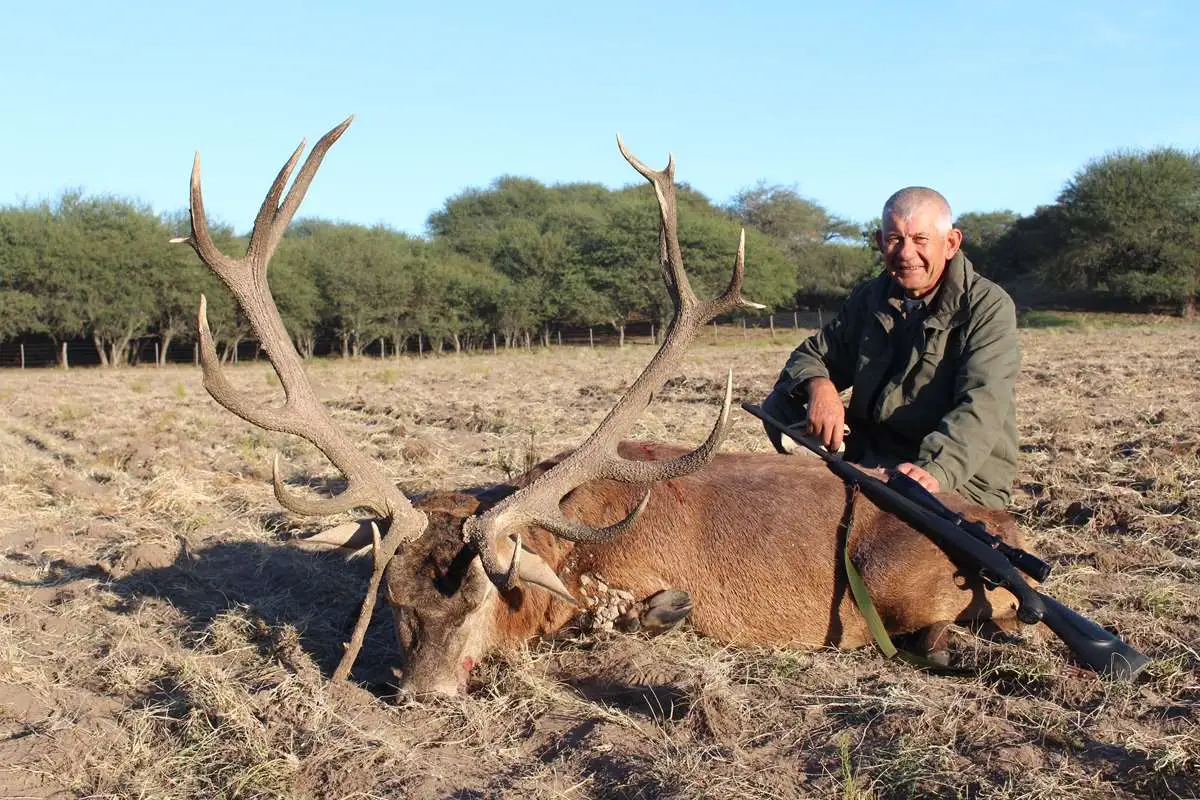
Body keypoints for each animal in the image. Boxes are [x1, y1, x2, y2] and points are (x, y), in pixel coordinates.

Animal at [174, 118, 1027, 695]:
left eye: (482, 594)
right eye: (393, 598)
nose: (424, 689)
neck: (566, 550)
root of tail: (1007, 526)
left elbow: (639, 610)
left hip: (898, 582)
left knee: (957, 629)